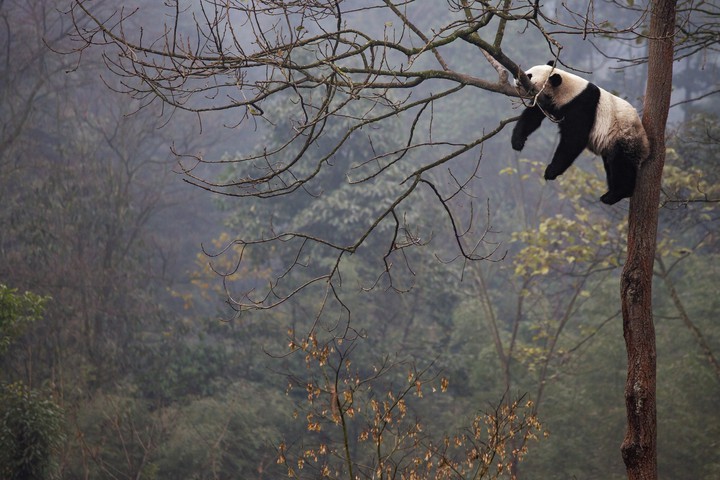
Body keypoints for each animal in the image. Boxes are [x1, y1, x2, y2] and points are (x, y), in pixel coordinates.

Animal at [511, 62, 650, 205]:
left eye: (529, 75)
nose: (515, 77)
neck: (568, 90)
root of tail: (646, 147)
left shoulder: (581, 105)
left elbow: (574, 139)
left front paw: (551, 171)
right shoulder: (545, 101)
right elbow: (532, 116)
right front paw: (517, 142)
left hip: (624, 135)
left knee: (621, 164)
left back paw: (615, 194)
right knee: (611, 165)